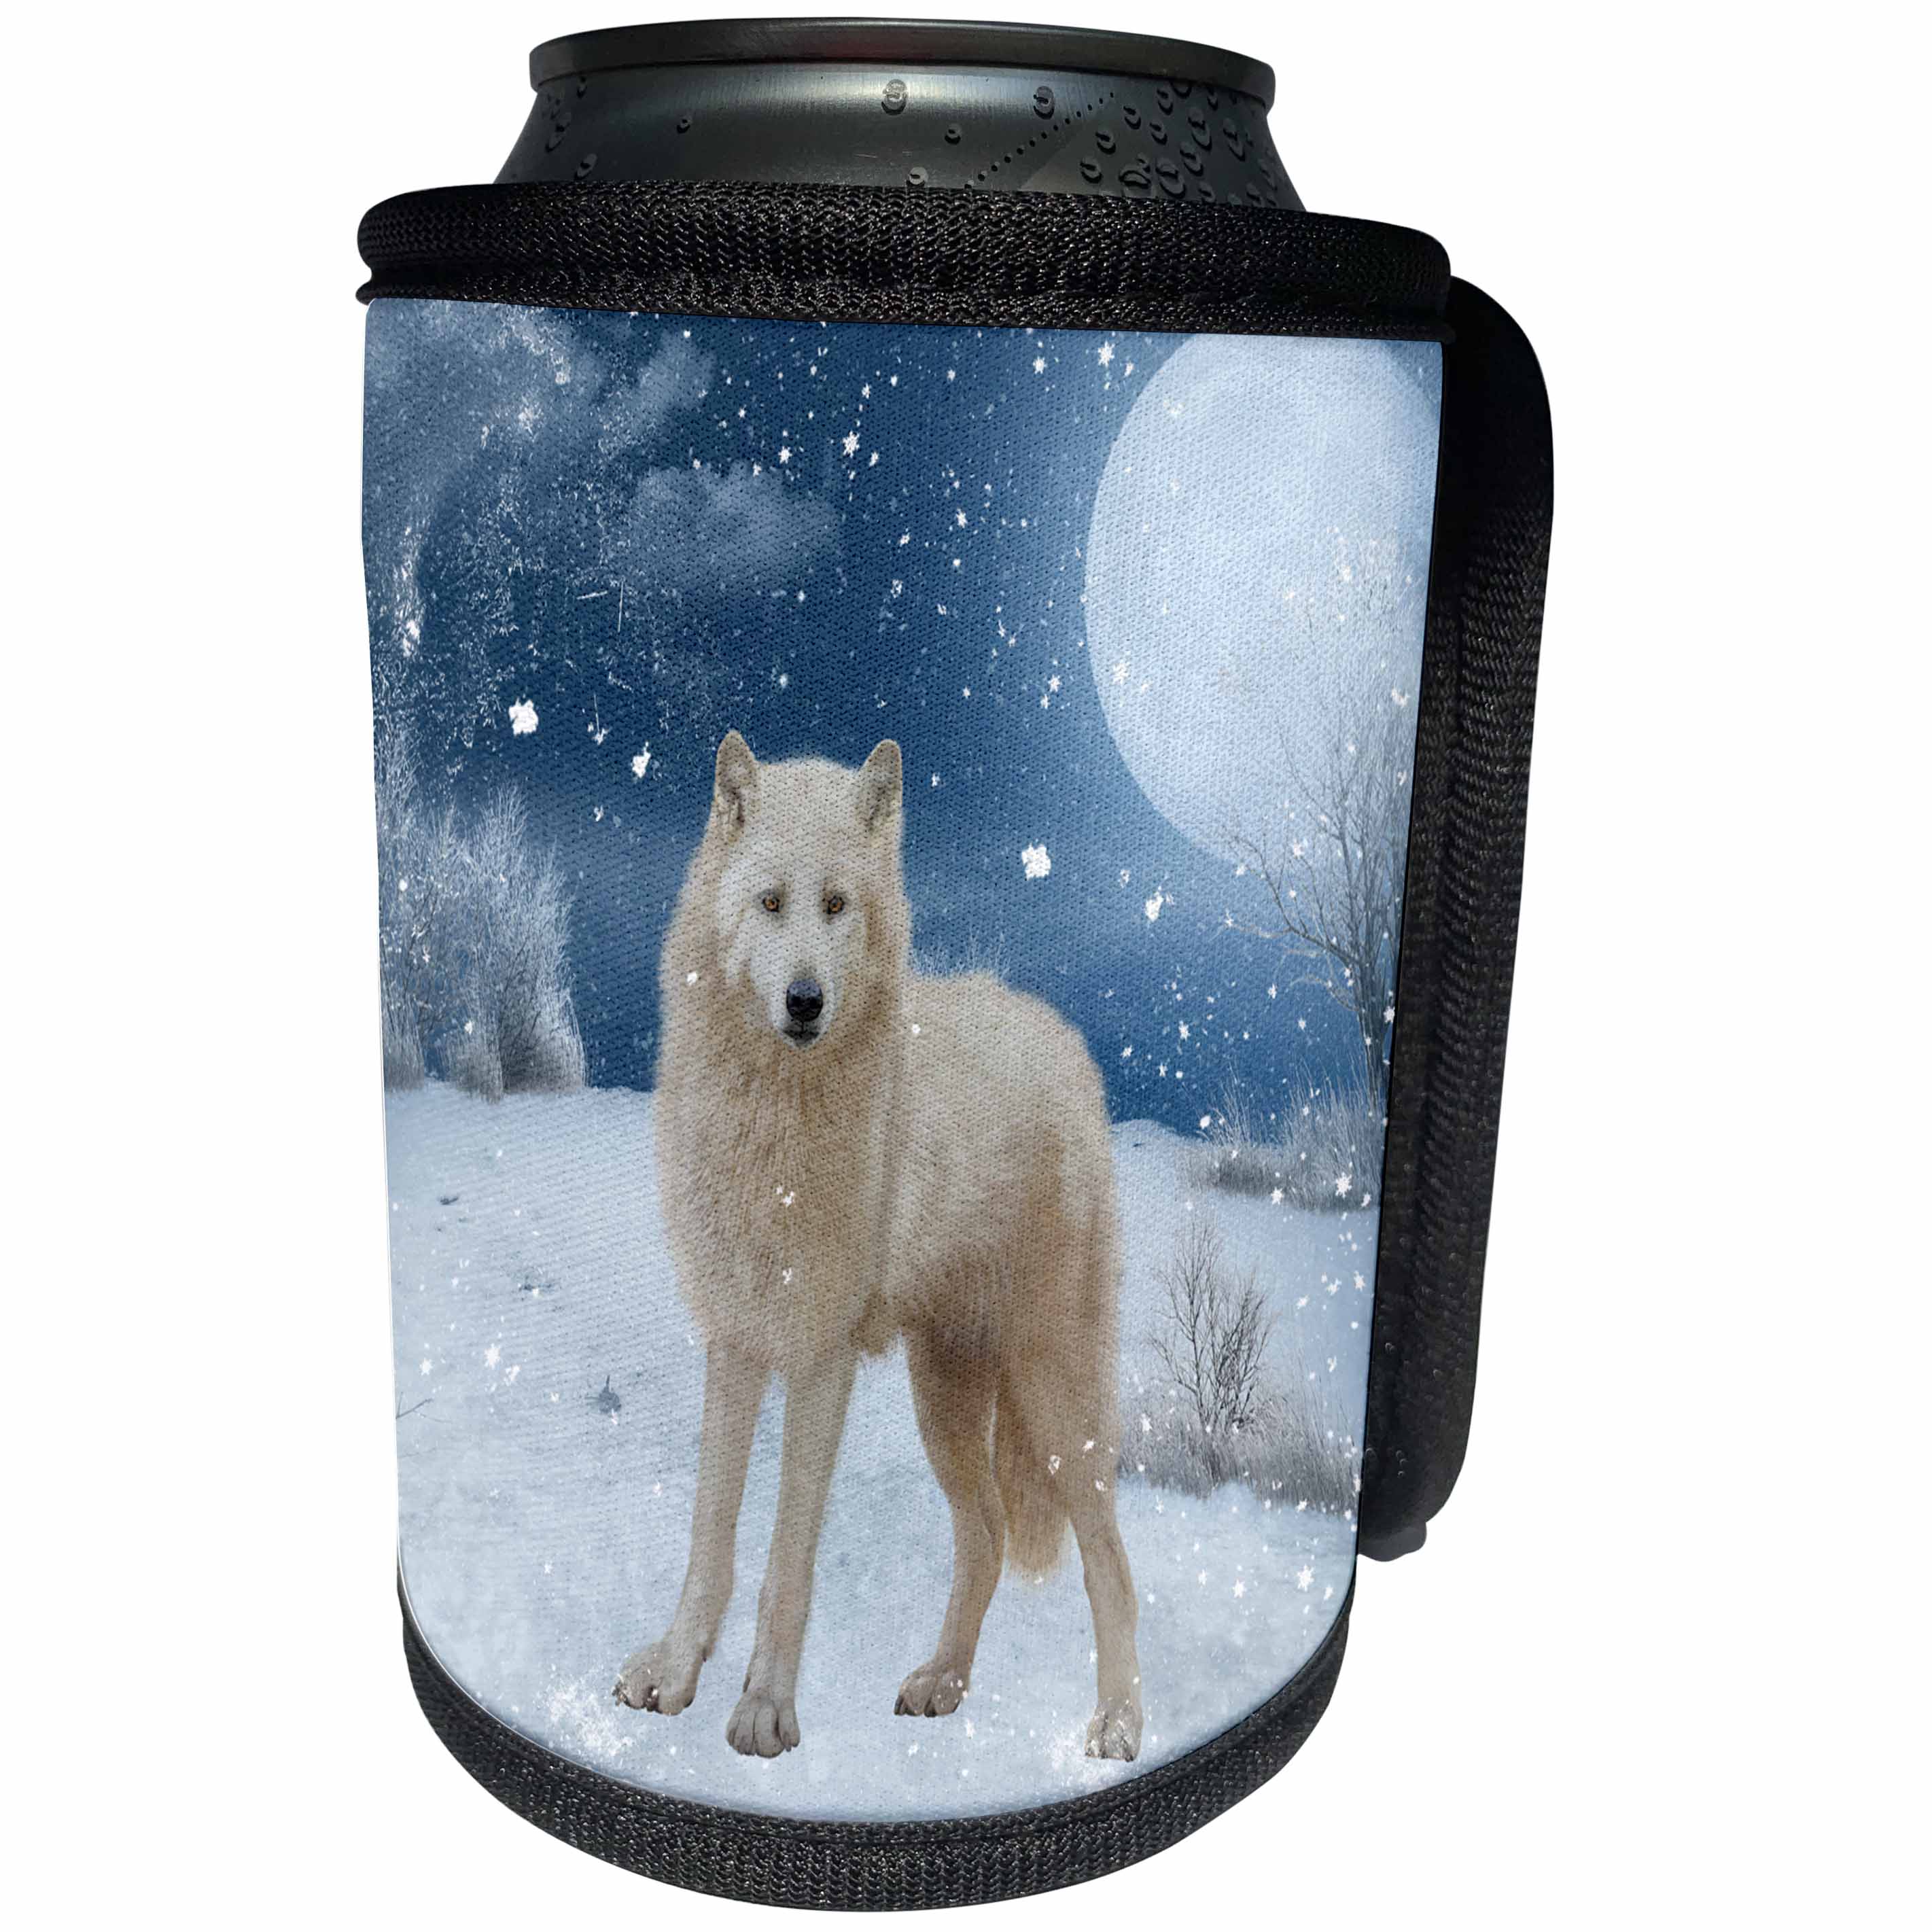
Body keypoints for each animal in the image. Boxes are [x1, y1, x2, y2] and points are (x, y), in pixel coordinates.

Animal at [614, 729, 1142, 1762]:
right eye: (769, 901)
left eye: (835, 905)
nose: (804, 1000)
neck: (772, 1128)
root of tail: (1059, 1038)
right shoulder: (736, 1342)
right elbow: (710, 1535)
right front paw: (675, 1671)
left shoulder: (818, 1359)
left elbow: (786, 1556)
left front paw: (764, 1709)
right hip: (945, 1396)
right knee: (983, 1536)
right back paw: (943, 1682)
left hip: (1052, 1391)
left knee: (1109, 1558)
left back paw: (1117, 1722)